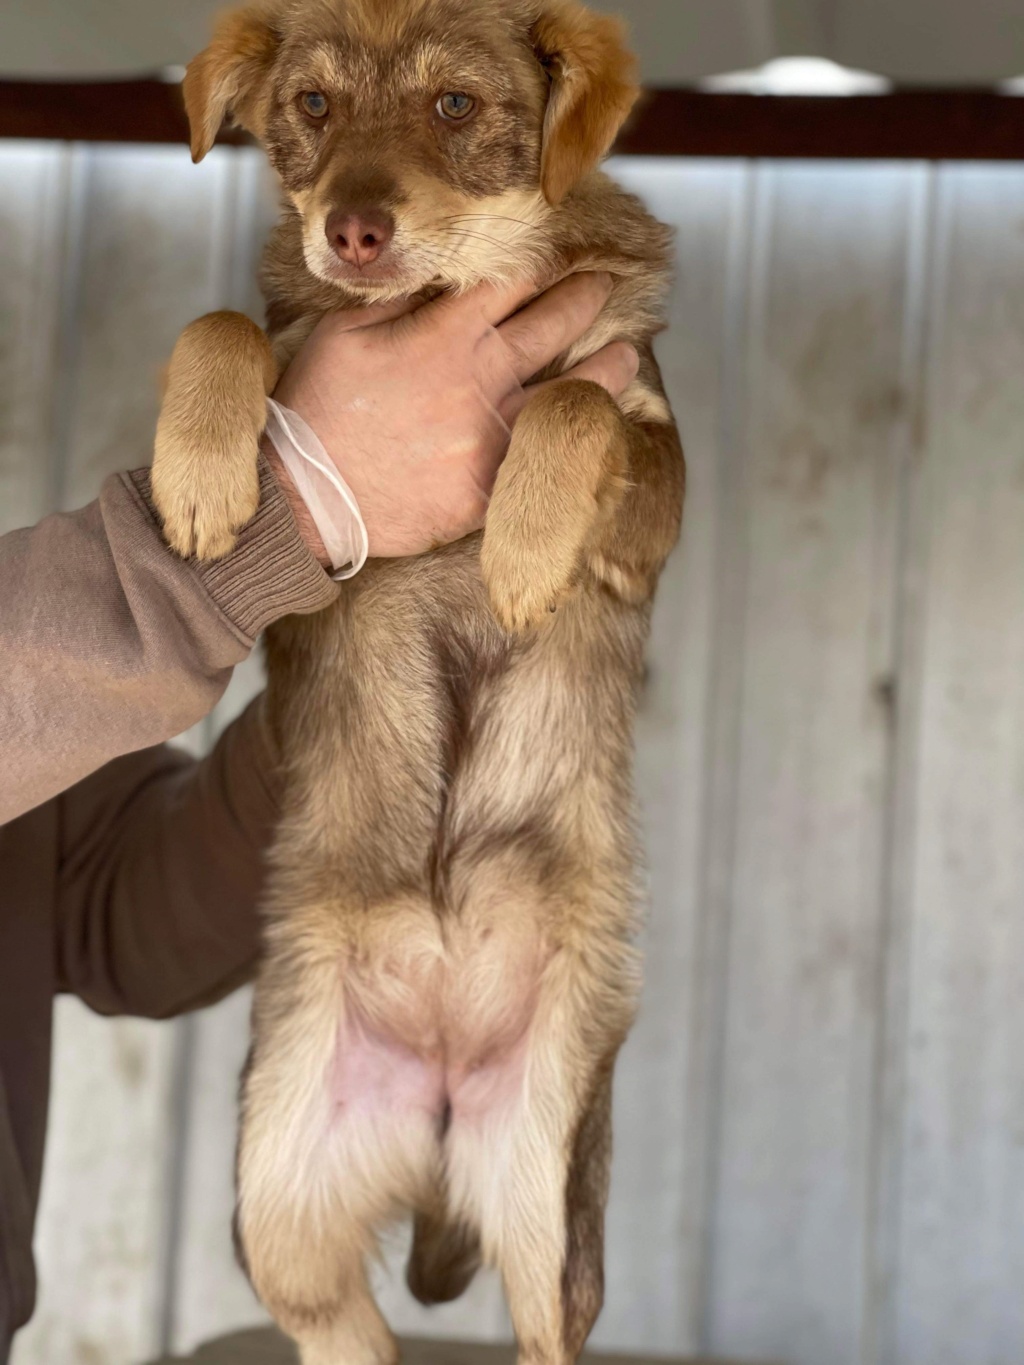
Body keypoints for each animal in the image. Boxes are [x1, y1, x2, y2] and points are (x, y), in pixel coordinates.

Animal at [152, 2, 685, 1365]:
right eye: (313, 107)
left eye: (455, 105)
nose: (352, 229)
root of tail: (443, 1085)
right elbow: (227, 325)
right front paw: (200, 473)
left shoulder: (650, 495)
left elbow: (572, 398)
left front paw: (524, 545)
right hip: (280, 1204)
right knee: (341, 1324)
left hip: (551, 1218)